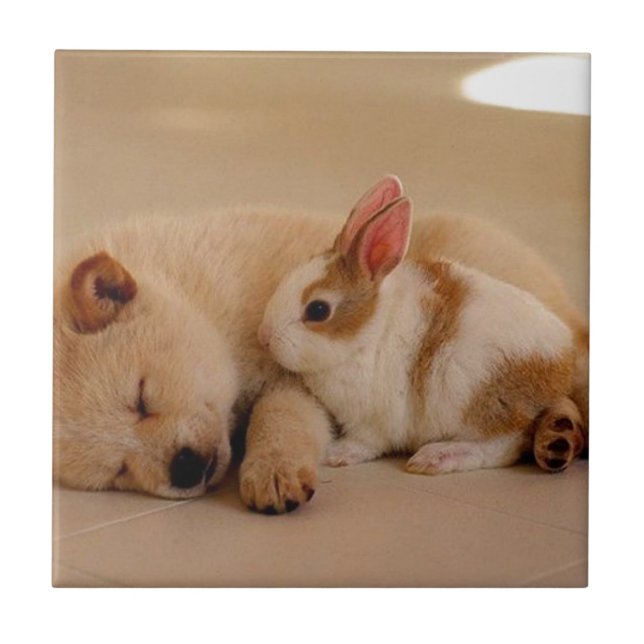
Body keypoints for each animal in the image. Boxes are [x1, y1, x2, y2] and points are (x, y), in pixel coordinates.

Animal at [259, 180, 585, 475]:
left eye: (318, 310)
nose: (265, 337)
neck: (368, 334)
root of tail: (562, 363)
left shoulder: (374, 422)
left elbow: (365, 443)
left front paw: (336, 454)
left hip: (474, 399)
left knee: (504, 445)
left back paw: (436, 457)